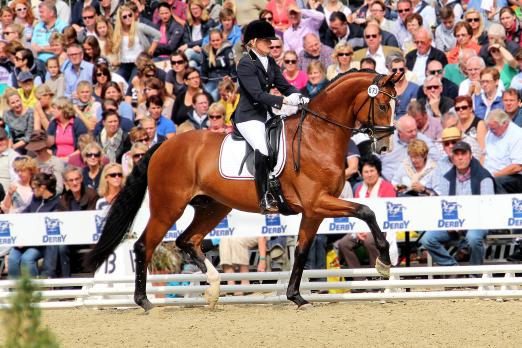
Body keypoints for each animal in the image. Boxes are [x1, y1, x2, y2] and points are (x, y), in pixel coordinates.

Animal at [85, 70, 400, 310]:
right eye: (383, 106)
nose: (385, 146)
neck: (317, 135)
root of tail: (163, 145)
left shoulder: (314, 211)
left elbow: (301, 251)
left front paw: (296, 297)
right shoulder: (318, 202)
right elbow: (366, 211)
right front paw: (384, 262)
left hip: (213, 206)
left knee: (188, 240)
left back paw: (213, 290)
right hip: (168, 207)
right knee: (145, 245)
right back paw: (145, 302)